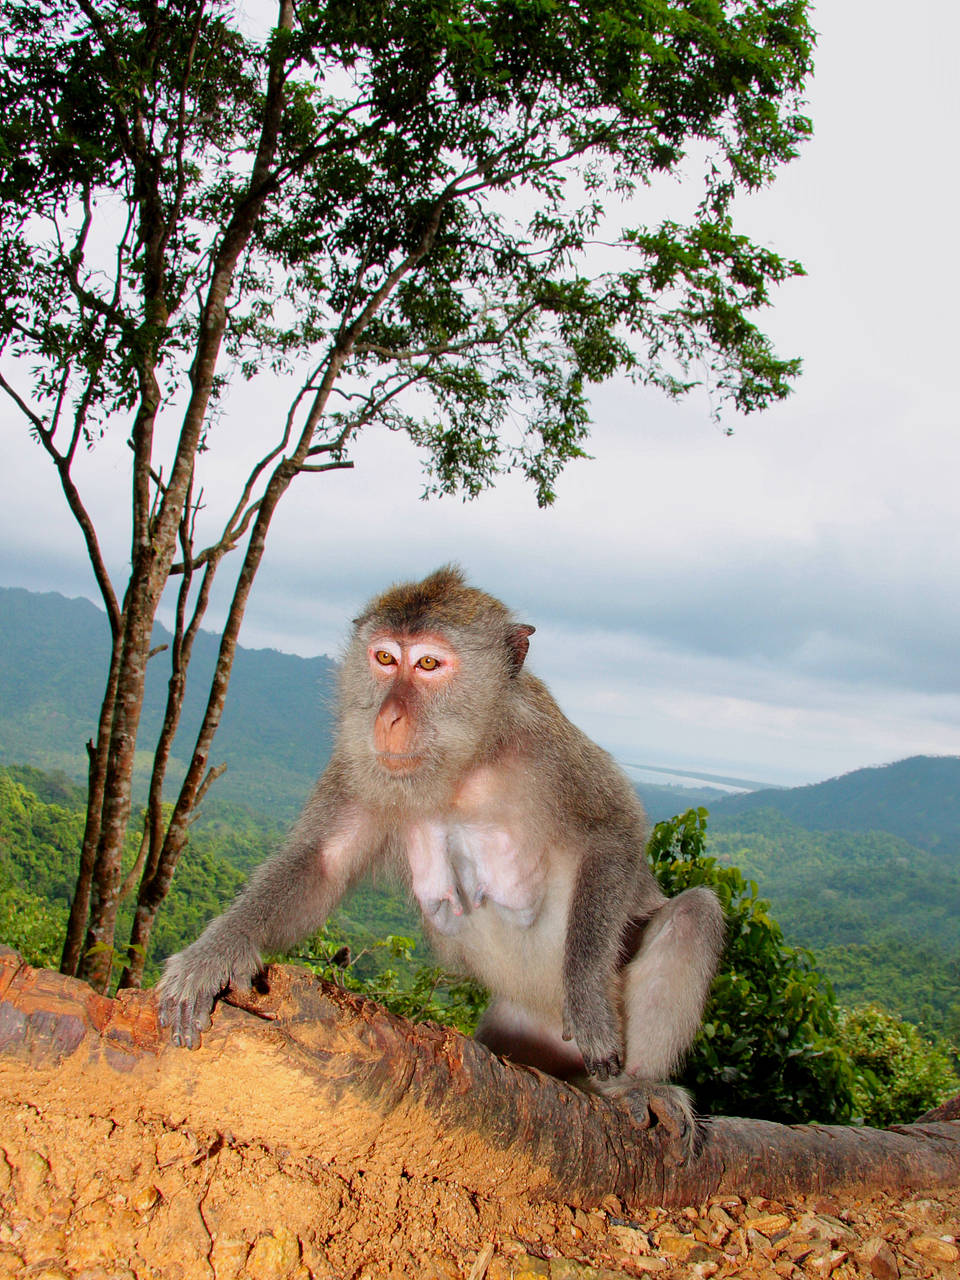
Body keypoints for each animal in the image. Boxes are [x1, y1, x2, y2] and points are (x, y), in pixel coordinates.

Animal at [160, 568, 727, 1162]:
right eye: (386, 658)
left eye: (429, 664)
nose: (388, 717)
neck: (464, 761)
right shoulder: (357, 761)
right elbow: (322, 864)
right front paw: (212, 956)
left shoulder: (548, 744)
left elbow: (613, 831)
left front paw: (589, 1000)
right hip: (510, 1029)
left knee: (695, 915)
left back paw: (634, 1085)